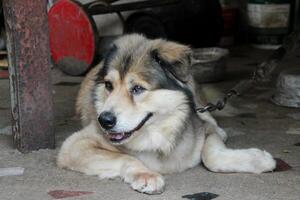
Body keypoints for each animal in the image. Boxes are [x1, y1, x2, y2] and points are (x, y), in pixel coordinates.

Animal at [56, 34, 276, 194]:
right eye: (109, 85)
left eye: (137, 89)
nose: (104, 120)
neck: (158, 134)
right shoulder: (75, 146)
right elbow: (125, 157)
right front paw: (146, 174)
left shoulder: (206, 129)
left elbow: (212, 155)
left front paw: (258, 160)